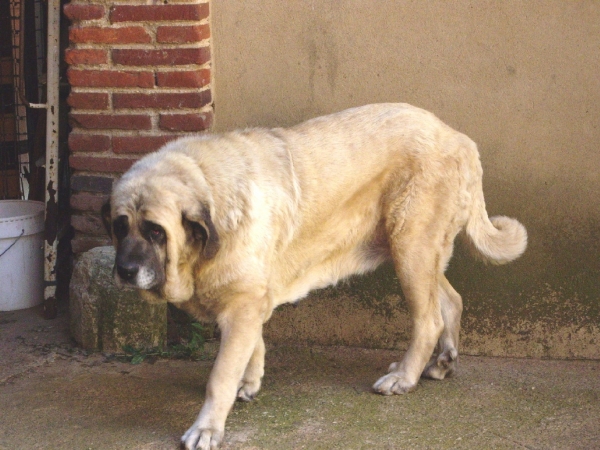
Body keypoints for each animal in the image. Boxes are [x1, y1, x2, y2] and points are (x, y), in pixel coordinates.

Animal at [102, 103, 524, 448]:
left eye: (156, 231)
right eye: (121, 226)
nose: (125, 270)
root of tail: (457, 137)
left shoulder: (242, 305)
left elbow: (219, 376)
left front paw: (207, 428)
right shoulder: (251, 302)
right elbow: (252, 347)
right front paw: (249, 382)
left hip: (411, 249)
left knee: (429, 319)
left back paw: (405, 376)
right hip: (417, 252)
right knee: (451, 300)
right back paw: (440, 363)